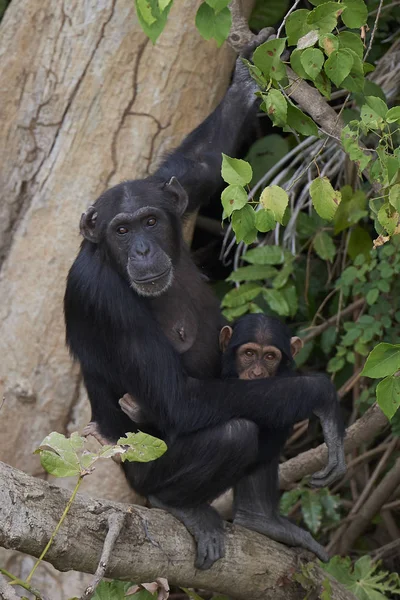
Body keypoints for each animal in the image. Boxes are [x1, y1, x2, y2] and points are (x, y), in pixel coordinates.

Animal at [64, 30, 346, 568]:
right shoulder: (100, 296)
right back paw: (181, 506)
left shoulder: (175, 192)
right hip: (140, 471)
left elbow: (196, 163)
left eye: (151, 220)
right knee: (234, 431)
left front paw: (244, 81)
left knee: (271, 404)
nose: (143, 248)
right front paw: (324, 394)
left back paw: (260, 518)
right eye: (121, 230)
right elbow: (179, 397)